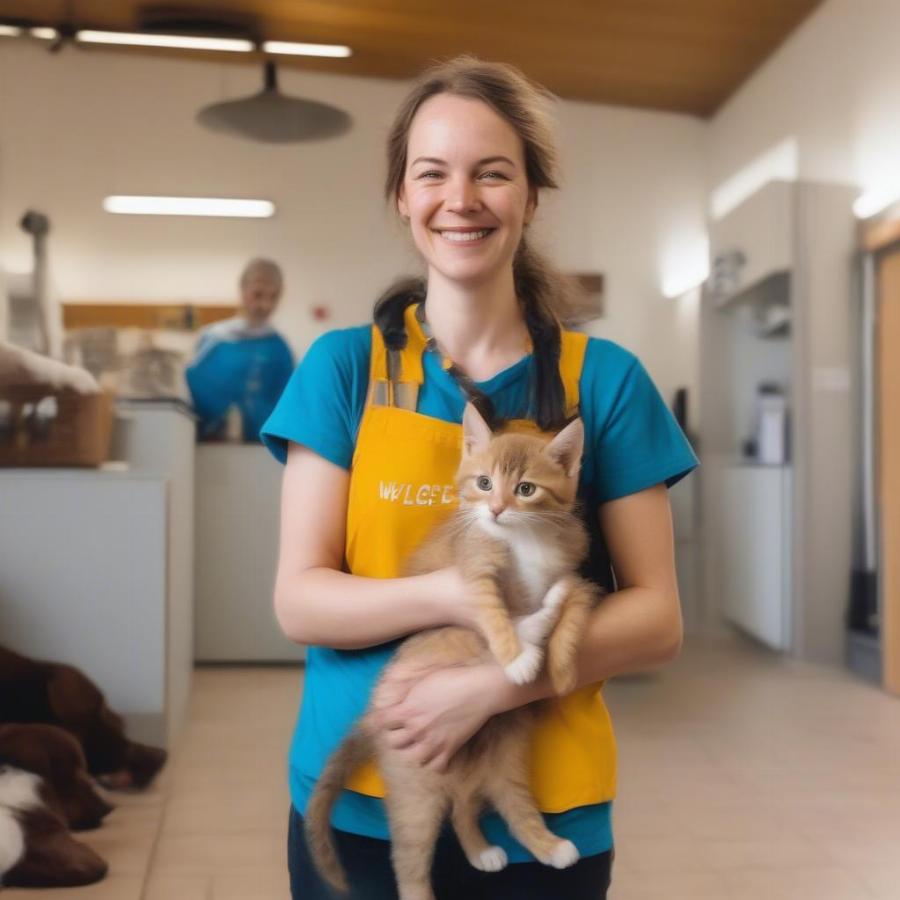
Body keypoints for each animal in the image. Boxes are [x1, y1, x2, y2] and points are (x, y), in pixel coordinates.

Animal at [306, 404, 600, 896]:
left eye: (525, 489)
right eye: (483, 483)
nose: (497, 509)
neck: (525, 540)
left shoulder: (571, 568)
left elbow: (576, 600)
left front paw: (561, 667)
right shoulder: (474, 565)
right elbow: (492, 610)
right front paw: (517, 658)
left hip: (505, 754)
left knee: (494, 803)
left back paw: (539, 847)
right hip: (417, 784)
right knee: (409, 857)